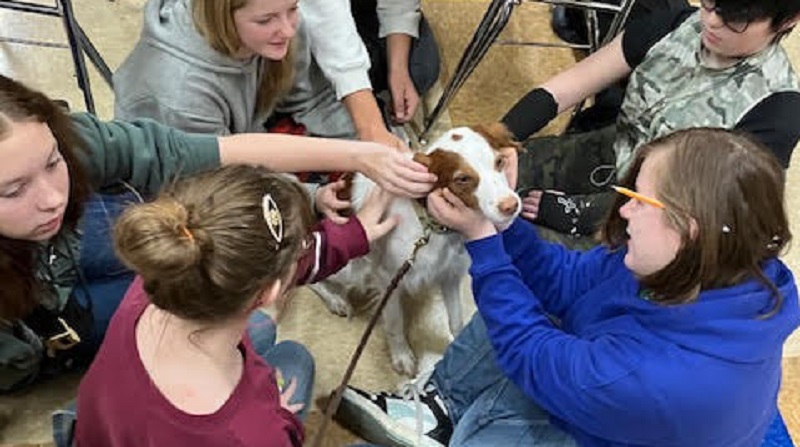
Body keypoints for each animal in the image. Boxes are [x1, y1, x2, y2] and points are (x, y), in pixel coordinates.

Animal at [312, 124, 524, 376]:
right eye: (462, 179)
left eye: (500, 161)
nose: (511, 206)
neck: (434, 228)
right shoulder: (388, 278)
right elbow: (395, 323)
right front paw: (402, 356)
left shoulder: (450, 275)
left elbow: (456, 320)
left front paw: (457, 348)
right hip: (353, 268)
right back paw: (336, 300)